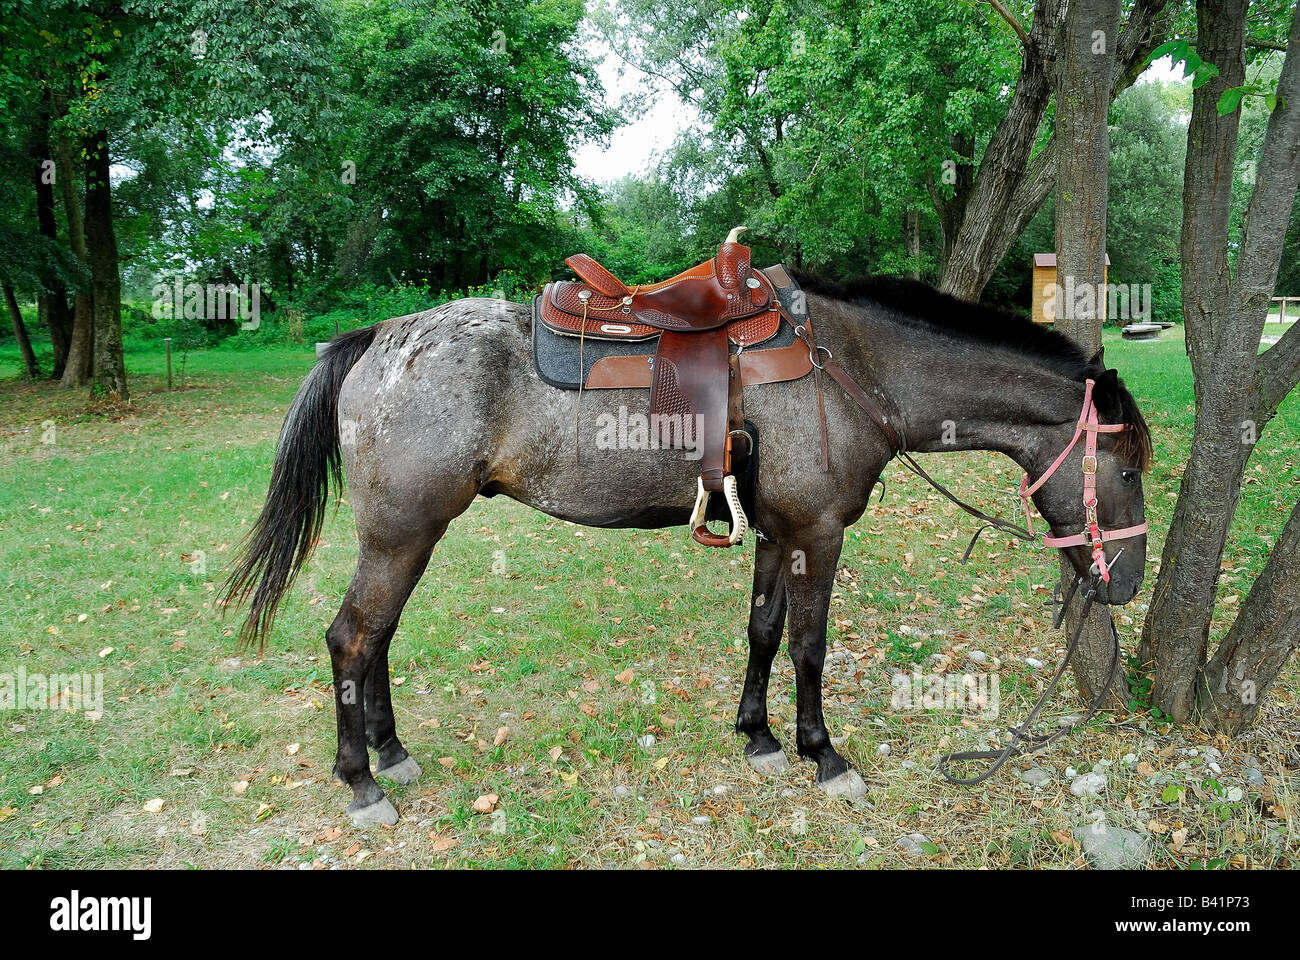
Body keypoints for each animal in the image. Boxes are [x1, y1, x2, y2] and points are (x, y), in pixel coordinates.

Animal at [220, 273, 1149, 827]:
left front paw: (760, 737)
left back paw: (391, 753)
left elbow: (764, 633)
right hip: (402, 532)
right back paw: (362, 781)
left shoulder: (777, 533)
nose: (1126, 583)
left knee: (376, 639)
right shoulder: (819, 536)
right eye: (1131, 465)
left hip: (408, 535)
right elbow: (811, 648)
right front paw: (825, 755)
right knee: (352, 637)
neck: (847, 369)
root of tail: (379, 336)